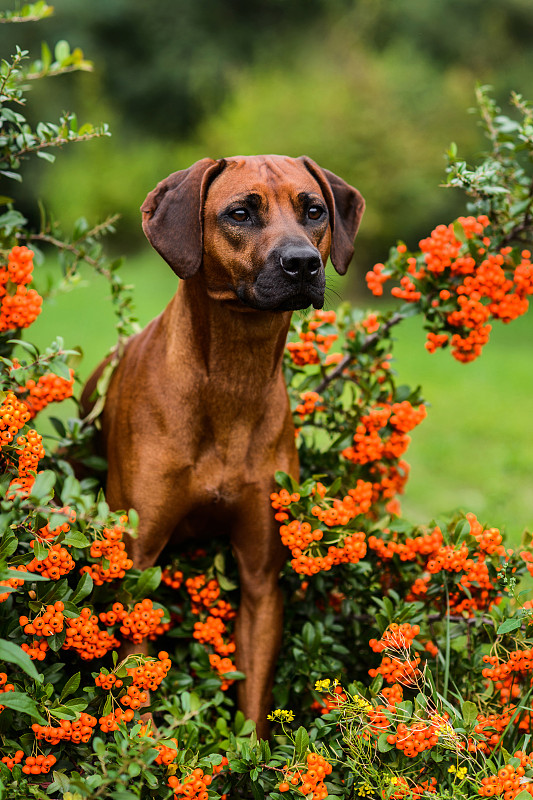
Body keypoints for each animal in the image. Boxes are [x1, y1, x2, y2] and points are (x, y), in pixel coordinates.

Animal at [83, 155, 364, 736]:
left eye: (314, 211)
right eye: (239, 213)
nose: (303, 264)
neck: (233, 379)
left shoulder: (261, 578)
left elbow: (253, 701)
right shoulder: (136, 566)